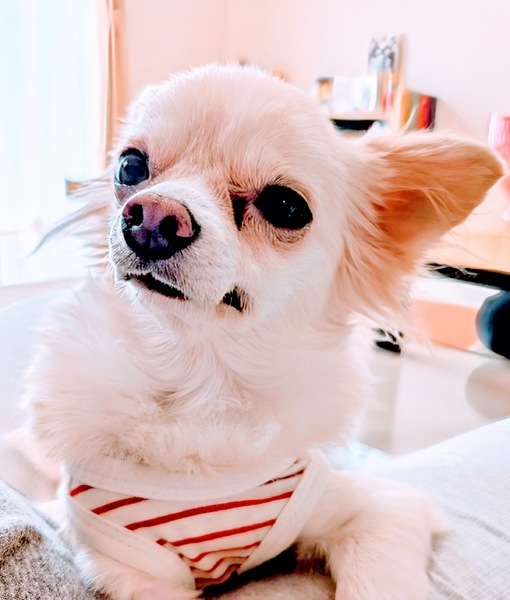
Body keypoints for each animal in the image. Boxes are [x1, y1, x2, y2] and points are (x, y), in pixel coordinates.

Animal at [26, 64, 502, 600]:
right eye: (129, 167)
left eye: (285, 206)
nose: (152, 215)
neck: (202, 384)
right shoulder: (127, 569)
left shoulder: (381, 506)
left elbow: (381, 577)